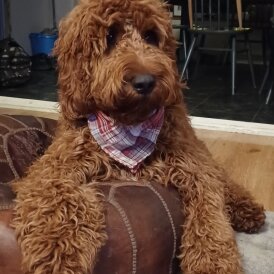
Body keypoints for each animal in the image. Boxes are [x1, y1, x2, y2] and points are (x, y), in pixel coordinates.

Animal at [12, 0, 266, 272]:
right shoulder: (54, 167)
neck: (130, 127)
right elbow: (56, 197)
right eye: (110, 37)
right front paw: (57, 253)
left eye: (151, 36)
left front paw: (213, 262)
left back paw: (248, 209)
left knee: (225, 180)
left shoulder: (194, 167)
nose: (145, 82)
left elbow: (209, 214)